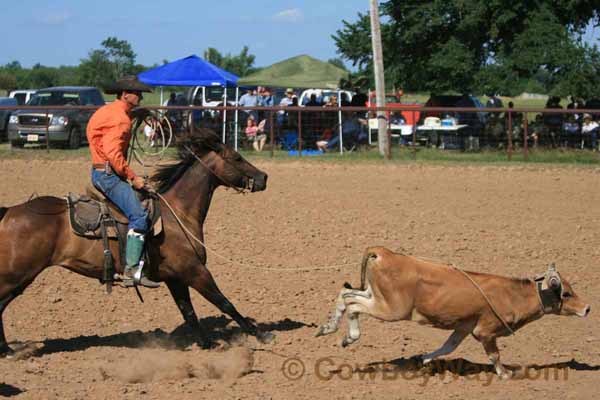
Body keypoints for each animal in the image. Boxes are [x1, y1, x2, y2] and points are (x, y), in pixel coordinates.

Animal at [0, 128, 270, 356]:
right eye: (236, 158)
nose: (263, 177)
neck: (177, 214)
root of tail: (10, 211)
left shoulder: (175, 278)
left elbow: (189, 312)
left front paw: (207, 344)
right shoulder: (195, 271)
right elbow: (224, 302)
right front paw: (260, 335)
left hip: (21, 278)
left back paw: (7, 350)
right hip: (17, 274)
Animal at [316, 244, 588, 378]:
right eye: (566, 293)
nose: (587, 308)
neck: (512, 295)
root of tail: (384, 253)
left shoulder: (464, 327)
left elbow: (449, 346)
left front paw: (424, 359)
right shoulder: (485, 332)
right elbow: (495, 355)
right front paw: (505, 374)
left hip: (376, 296)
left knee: (345, 294)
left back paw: (329, 328)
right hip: (391, 308)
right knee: (353, 304)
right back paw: (349, 336)